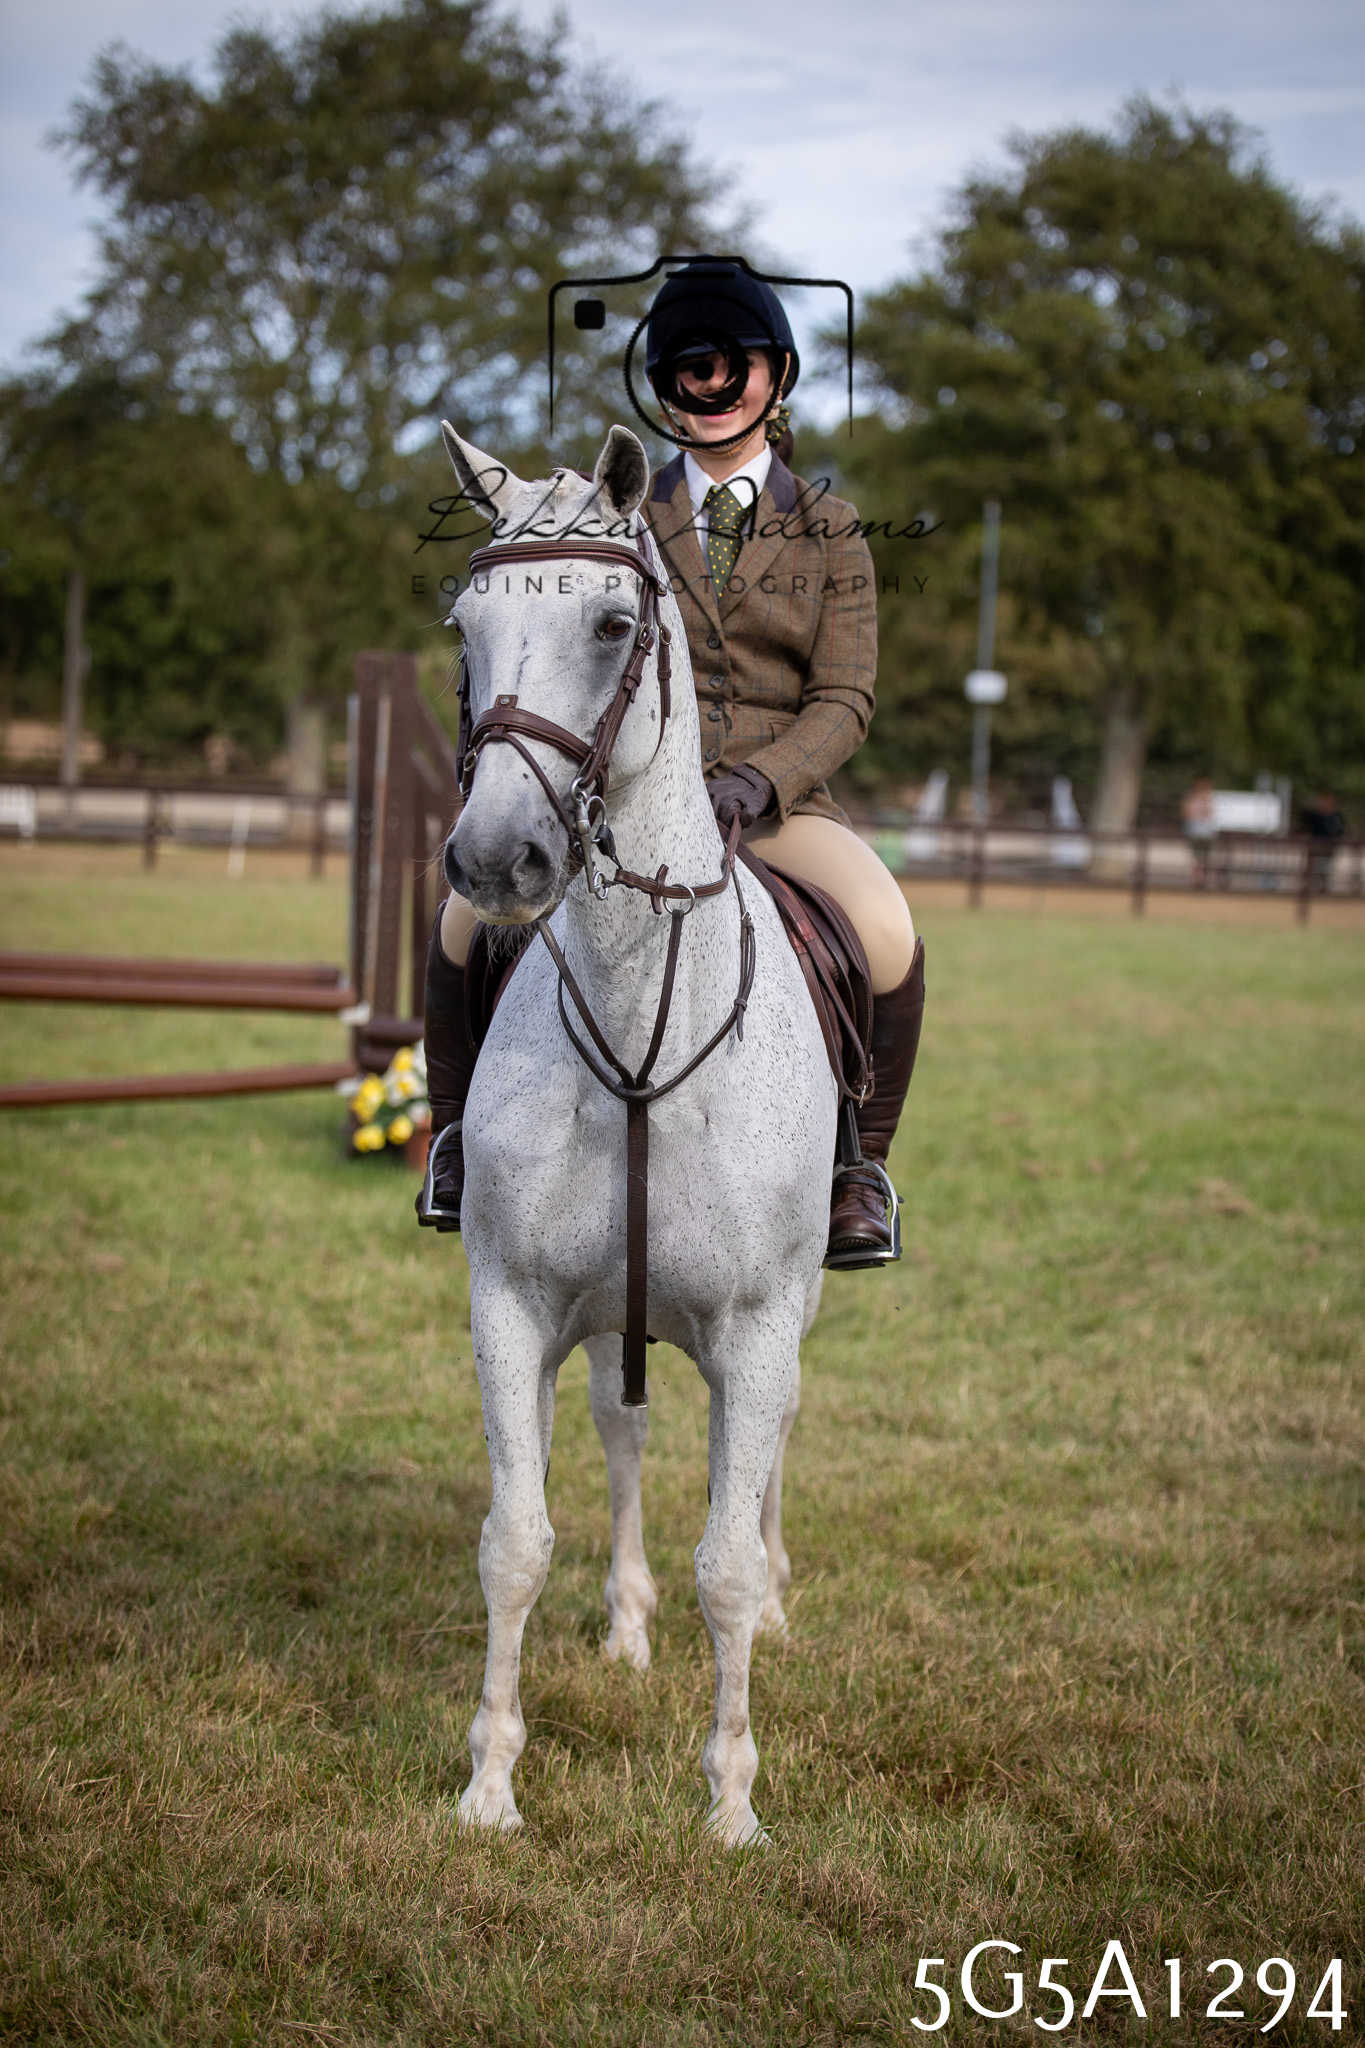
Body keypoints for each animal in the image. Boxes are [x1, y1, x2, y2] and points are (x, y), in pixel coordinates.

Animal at [437, 420, 837, 1847]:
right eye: (462, 629)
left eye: (615, 625)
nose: (497, 861)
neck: (637, 1022)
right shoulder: (510, 1301)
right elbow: (514, 1540)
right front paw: (490, 1785)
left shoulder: (760, 1322)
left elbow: (726, 1563)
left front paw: (732, 1805)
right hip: (615, 1312)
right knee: (621, 1430)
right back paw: (623, 1625)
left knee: (763, 1460)